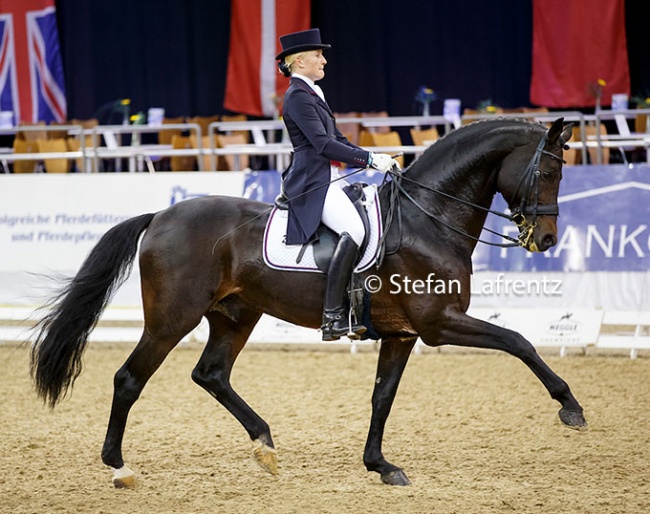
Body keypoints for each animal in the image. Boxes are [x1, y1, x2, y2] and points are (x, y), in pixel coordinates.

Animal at [31, 117, 588, 488]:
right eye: (550, 172)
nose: (545, 240)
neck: (427, 218)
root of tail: (161, 216)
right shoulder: (440, 323)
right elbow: (519, 341)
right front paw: (571, 407)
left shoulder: (403, 334)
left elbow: (382, 397)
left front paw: (380, 466)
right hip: (172, 319)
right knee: (130, 379)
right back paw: (121, 468)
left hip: (236, 315)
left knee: (211, 374)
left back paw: (264, 445)